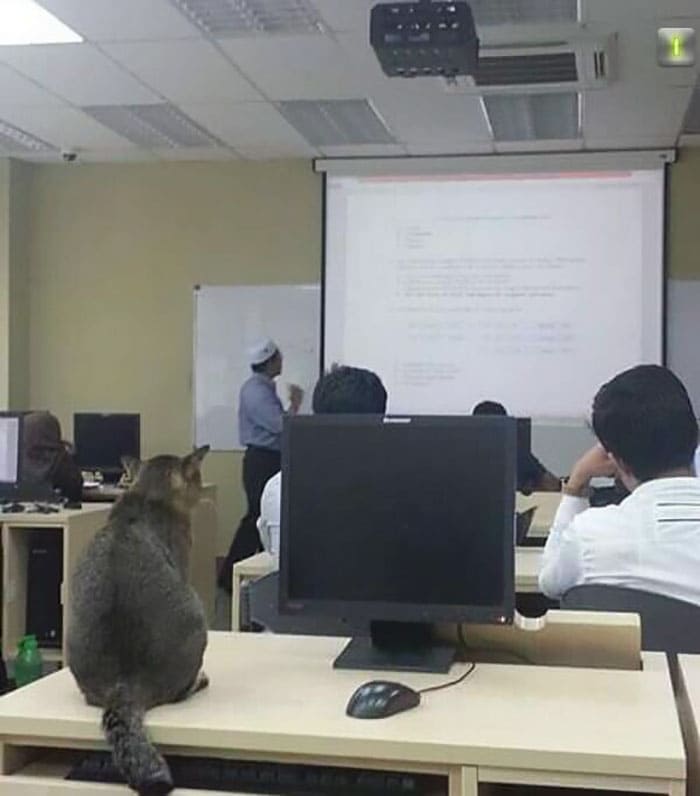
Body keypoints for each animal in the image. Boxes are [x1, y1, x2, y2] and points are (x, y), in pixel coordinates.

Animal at [68, 448, 211, 796]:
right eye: (197, 476)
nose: (202, 487)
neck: (146, 494)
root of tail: (126, 682)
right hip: (197, 615)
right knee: (178, 692)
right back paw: (198, 680)